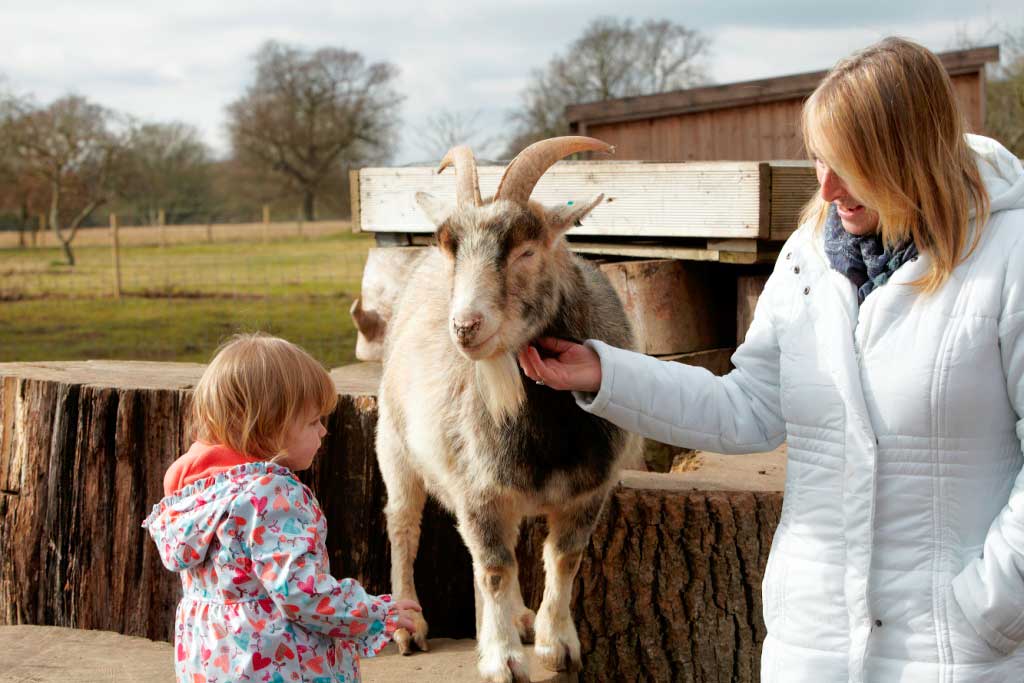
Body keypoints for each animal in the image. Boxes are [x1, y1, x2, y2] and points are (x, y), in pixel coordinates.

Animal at [372, 136, 637, 682]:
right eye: (451, 249)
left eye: (528, 250)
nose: (465, 327)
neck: (546, 430)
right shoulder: (476, 487)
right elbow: (493, 567)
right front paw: (503, 659)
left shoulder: (589, 489)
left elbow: (563, 559)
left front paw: (557, 645)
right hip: (395, 442)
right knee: (404, 524)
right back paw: (409, 627)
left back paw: (519, 616)